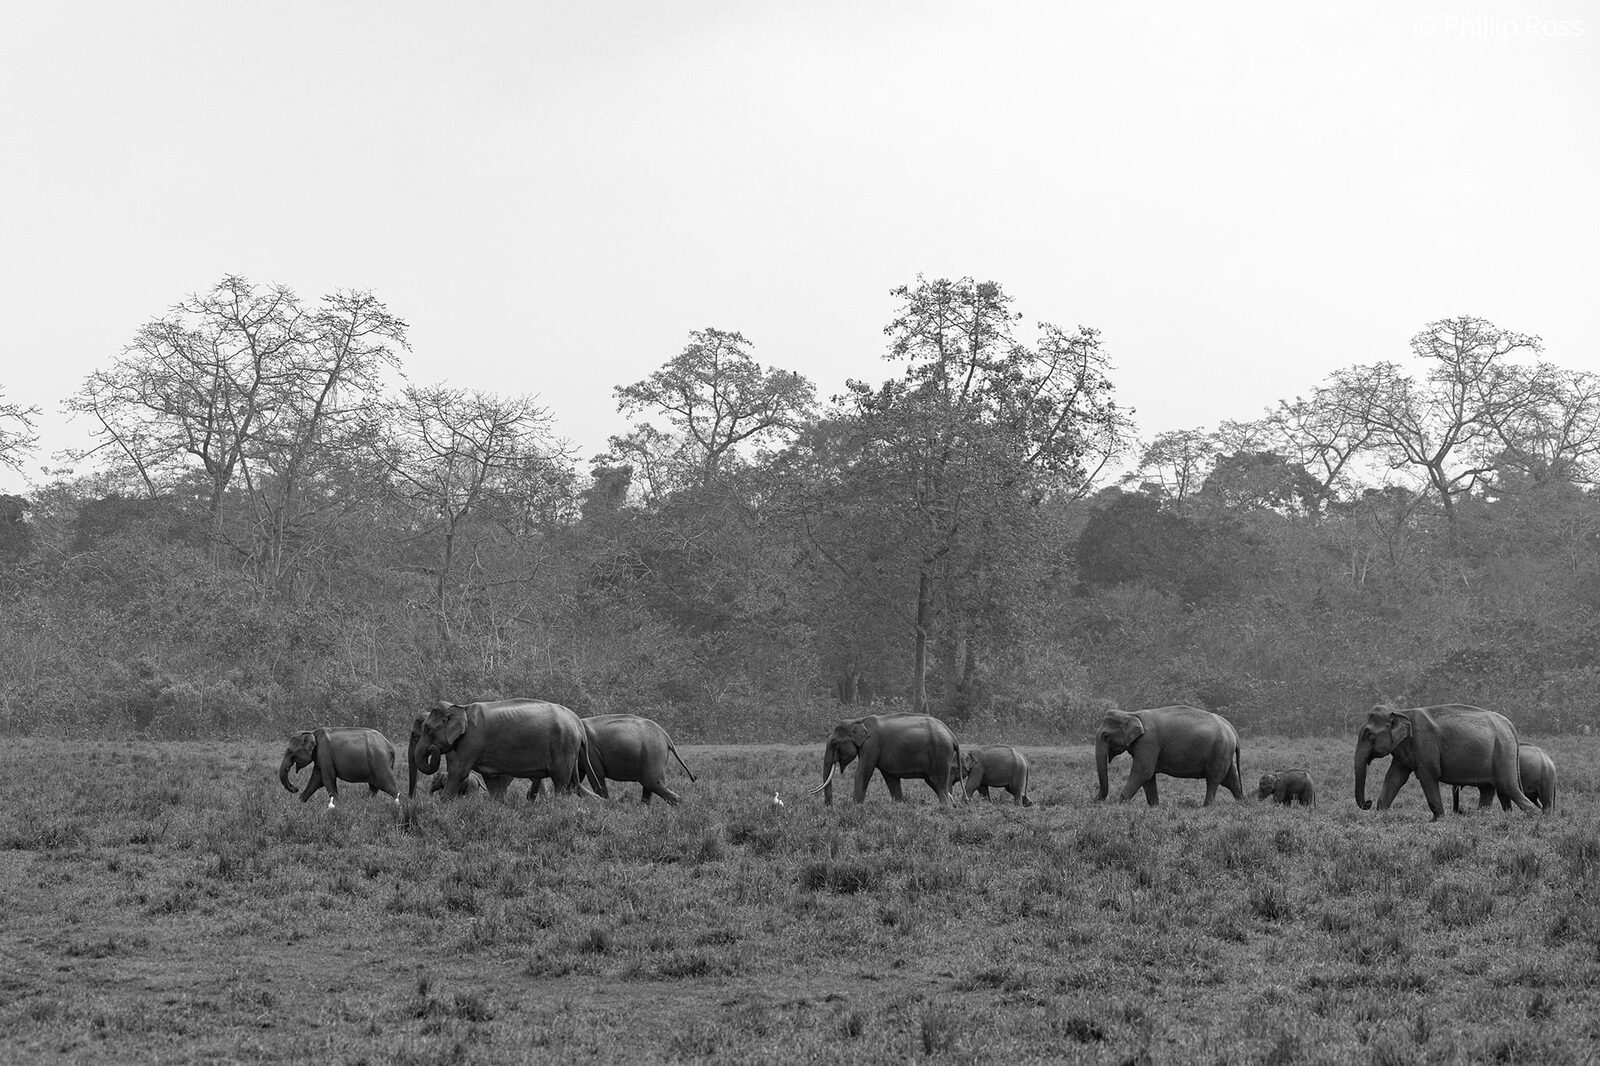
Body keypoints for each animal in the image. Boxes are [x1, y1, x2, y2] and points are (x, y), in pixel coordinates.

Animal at [409, 699, 600, 801]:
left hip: (563, 746)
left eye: (428, 729)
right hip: (570, 750)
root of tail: (578, 722)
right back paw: (601, 802)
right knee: (573, 784)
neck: (462, 707)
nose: (432, 749)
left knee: (561, 782)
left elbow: (459, 771)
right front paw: (497, 805)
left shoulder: (472, 741)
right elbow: (491, 779)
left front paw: (443, 804)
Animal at [809, 713, 960, 806]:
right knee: (934, 783)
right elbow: (891, 779)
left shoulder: (871, 745)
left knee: (938, 782)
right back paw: (951, 804)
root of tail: (951, 733)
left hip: (940, 754)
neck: (858, 720)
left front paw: (855, 808)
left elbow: (863, 772)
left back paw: (946, 808)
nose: (830, 807)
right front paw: (899, 805)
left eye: (834, 744)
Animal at [1094, 706, 1243, 806]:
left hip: (1220, 750)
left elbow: (1143, 772)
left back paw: (1207, 806)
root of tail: (1232, 729)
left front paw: (1119, 804)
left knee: (1214, 778)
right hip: (1225, 751)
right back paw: (1241, 802)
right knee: (1231, 778)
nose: (1096, 801)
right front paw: (1155, 806)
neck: (1131, 713)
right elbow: (1148, 777)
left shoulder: (1148, 742)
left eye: (1105, 736)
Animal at [1354, 703, 1537, 821]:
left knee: (1508, 787)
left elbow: (1428, 776)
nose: (1368, 802)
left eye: (1369, 734)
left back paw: (1534, 816)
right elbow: (1394, 778)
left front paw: (1437, 821)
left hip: (1503, 752)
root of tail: (1510, 726)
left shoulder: (1424, 745)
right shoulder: (1402, 753)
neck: (1401, 711)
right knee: (1488, 789)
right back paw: (1482, 818)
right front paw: (1380, 816)